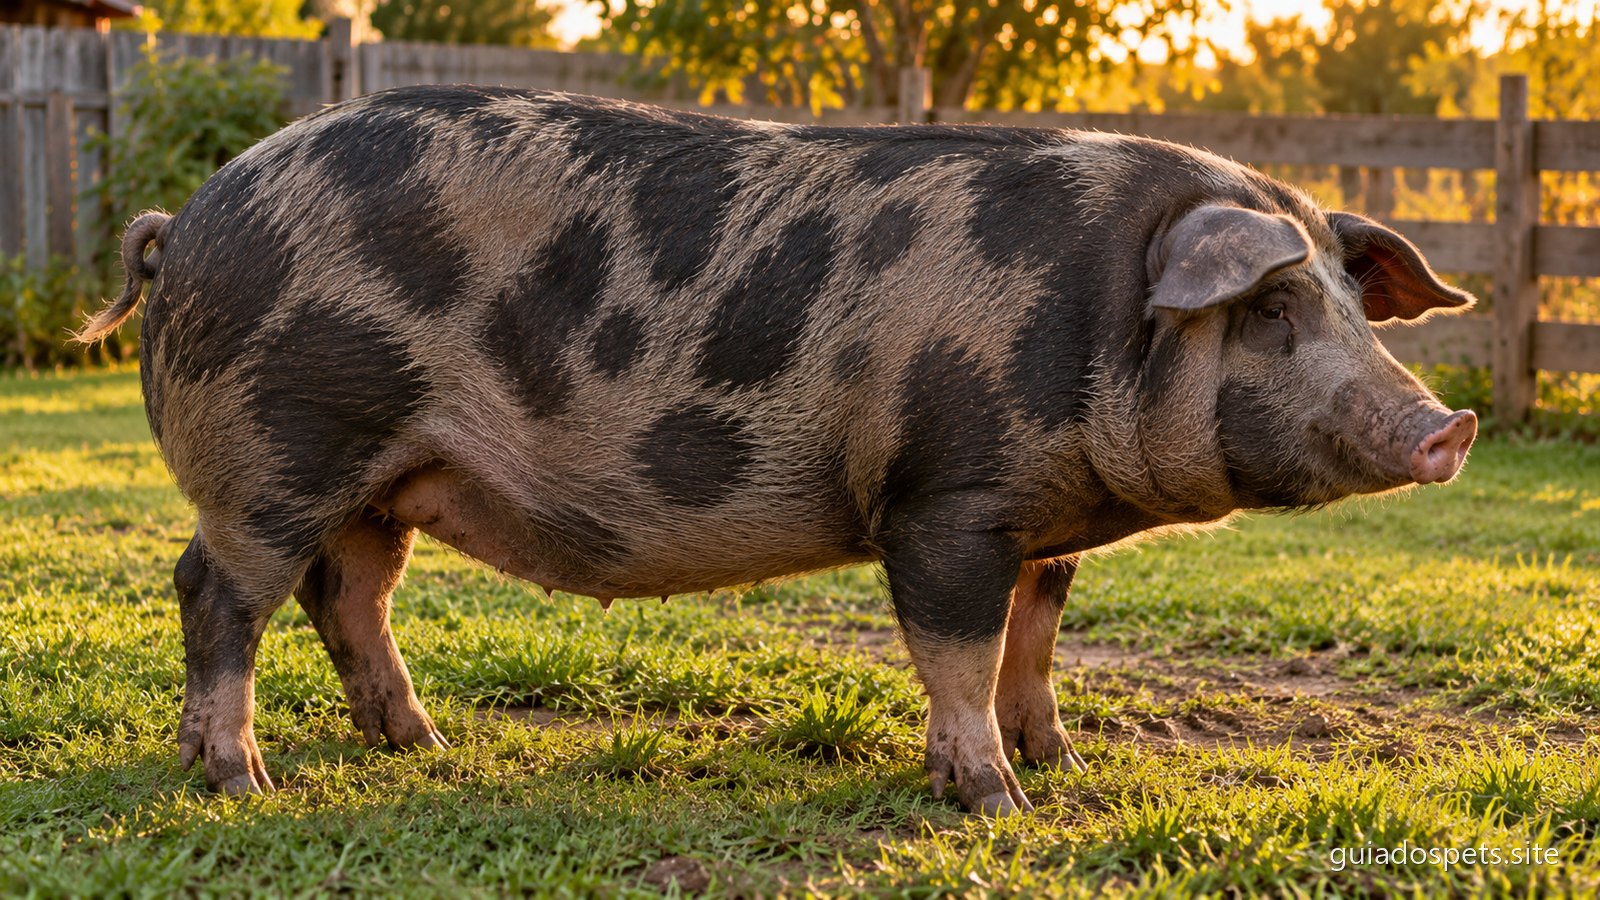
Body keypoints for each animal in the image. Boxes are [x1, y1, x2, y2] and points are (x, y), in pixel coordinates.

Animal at [77, 85, 1477, 815]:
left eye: (1352, 305)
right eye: (1275, 310)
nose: (1445, 425)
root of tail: (183, 220)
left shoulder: (1042, 517)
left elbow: (1036, 640)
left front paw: (1065, 761)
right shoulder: (944, 498)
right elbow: (958, 651)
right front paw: (994, 803)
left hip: (384, 478)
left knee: (347, 596)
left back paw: (420, 747)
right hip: (278, 449)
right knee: (217, 593)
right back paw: (240, 782)